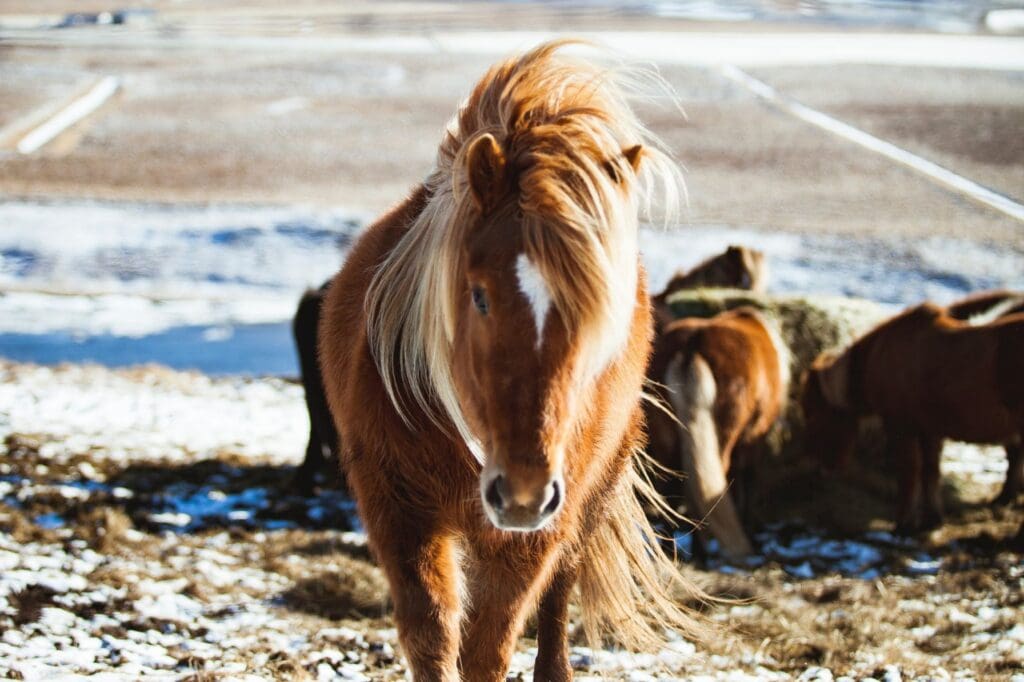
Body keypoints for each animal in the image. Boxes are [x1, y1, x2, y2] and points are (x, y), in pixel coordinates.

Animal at [315, 43, 708, 679]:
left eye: (597, 313)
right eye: (478, 295)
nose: (522, 489)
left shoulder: (535, 530)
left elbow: (489, 645)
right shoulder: (394, 507)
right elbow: (431, 635)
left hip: (586, 496)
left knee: (559, 594)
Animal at [643, 305, 786, 557]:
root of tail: (691, 346)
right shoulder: (753, 439)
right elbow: (746, 482)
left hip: (667, 439)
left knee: (672, 487)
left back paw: (672, 550)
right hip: (723, 437)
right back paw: (702, 552)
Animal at [802, 294, 1019, 532]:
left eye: (812, 414)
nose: (813, 467)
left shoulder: (901, 427)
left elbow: (909, 473)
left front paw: (903, 524)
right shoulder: (930, 431)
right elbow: (930, 472)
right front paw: (931, 519)